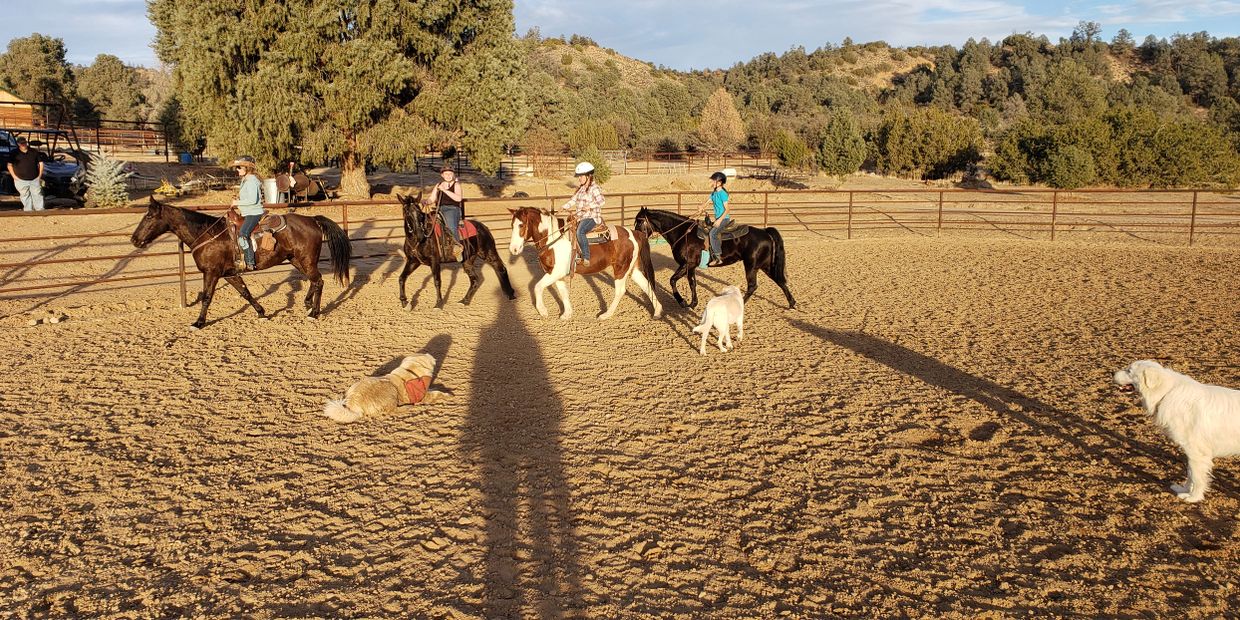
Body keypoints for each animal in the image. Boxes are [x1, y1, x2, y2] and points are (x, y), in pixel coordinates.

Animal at [130, 194, 352, 329]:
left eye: (149, 217)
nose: (134, 240)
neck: (207, 233)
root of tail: (313, 220)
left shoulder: (211, 273)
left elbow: (207, 297)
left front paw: (199, 322)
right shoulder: (229, 273)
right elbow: (245, 292)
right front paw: (262, 313)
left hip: (306, 260)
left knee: (319, 281)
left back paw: (314, 312)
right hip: (296, 260)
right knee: (314, 281)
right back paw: (307, 304)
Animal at [505, 205, 664, 319]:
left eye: (521, 225)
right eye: (511, 225)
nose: (513, 249)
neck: (553, 239)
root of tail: (635, 233)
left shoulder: (555, 273)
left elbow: (537, 287)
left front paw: (543, 311)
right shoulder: (556, 273)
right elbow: (563, 292)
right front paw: (567, 314)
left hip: (621, 269)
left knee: (620, 290)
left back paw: (606, 315)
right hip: (632, 269)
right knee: (646, 285)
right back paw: (657, 311)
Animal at [634, 207, 798, 310]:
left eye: (640, 221)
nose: (636, 235)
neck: (682, 233)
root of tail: (765, 232)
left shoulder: (687, 264)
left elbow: (672, 280)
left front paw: (682, 302)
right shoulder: (691, 266)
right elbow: (692, 283)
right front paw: (693, 303)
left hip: (751, 266)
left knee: (752, 286)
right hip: (765, 266)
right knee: (780, 281)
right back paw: (792, 303)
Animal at [1116, 362, 1240, 500]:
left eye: (1129, 371)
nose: (1112, 374)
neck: (1166, 392)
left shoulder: (1197, 452)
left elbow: (1197, 477)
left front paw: (1194, 497)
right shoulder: (1190, 452)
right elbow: (1190, 473)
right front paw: (1184, 489)